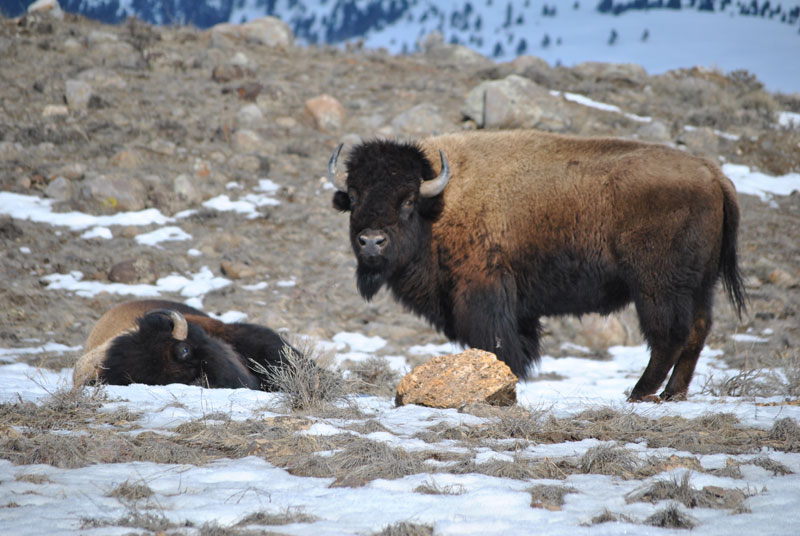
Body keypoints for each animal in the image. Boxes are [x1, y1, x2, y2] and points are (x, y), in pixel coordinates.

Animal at [328, 127, 748, 400]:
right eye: (354, 196)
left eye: (407, 200)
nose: (371, 242)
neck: (440, 202)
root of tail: (713, 175)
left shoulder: (482, 292)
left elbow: (496, 344)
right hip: (700, 286)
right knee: (696, 333)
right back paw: (671, 395)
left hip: (656, 287)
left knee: (669, 336)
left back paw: (638, 393)